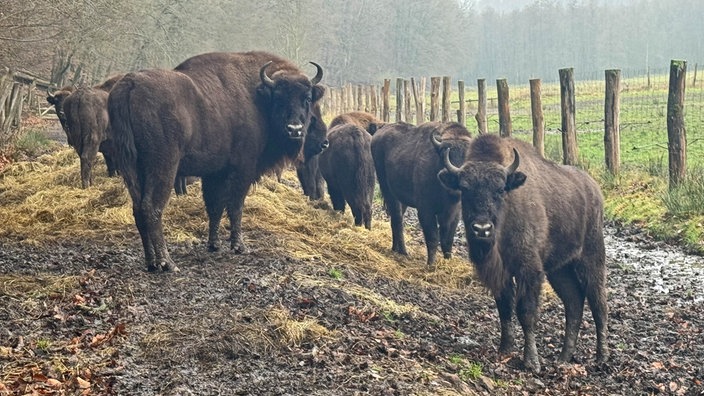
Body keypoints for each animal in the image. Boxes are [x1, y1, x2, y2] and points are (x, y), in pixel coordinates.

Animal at [108, 50, 326, 272]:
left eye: (307, 98)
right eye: (279, 98)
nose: (295, 129)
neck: (257, 97)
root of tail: (130, 83)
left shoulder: (215, 173)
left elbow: (215, 206)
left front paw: (214, 245)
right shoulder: (243, 170)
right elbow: (235, 206)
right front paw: (239, 246)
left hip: (134, 168)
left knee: (138, 209)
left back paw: (151, 262)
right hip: (163, 166)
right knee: (151, 207)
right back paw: (167, 262)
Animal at [368, 122, 472, 268]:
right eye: (445, 153)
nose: (455, 175)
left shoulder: (454, 214)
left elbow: (447, 240)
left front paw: (448, 261)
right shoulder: (425, 211)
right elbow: (433, 237)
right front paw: (431, 265)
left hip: (402, 199)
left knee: (397, 219)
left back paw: (397, 248)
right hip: (388, 191)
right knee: (397, 219)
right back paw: (403, 251)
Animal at [438, 133, 608, 372]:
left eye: (500, 190)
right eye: (465, 188)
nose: (482, 229)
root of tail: (594, 188)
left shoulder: (529, 270)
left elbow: (525, 312)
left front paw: (531, 362)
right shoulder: (502, 274)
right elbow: (504, 308)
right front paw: (505, 349)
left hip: (591, 259)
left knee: (598, 303)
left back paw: (602, 357)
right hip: (559, 270)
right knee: (574, 302)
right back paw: (563, 357)